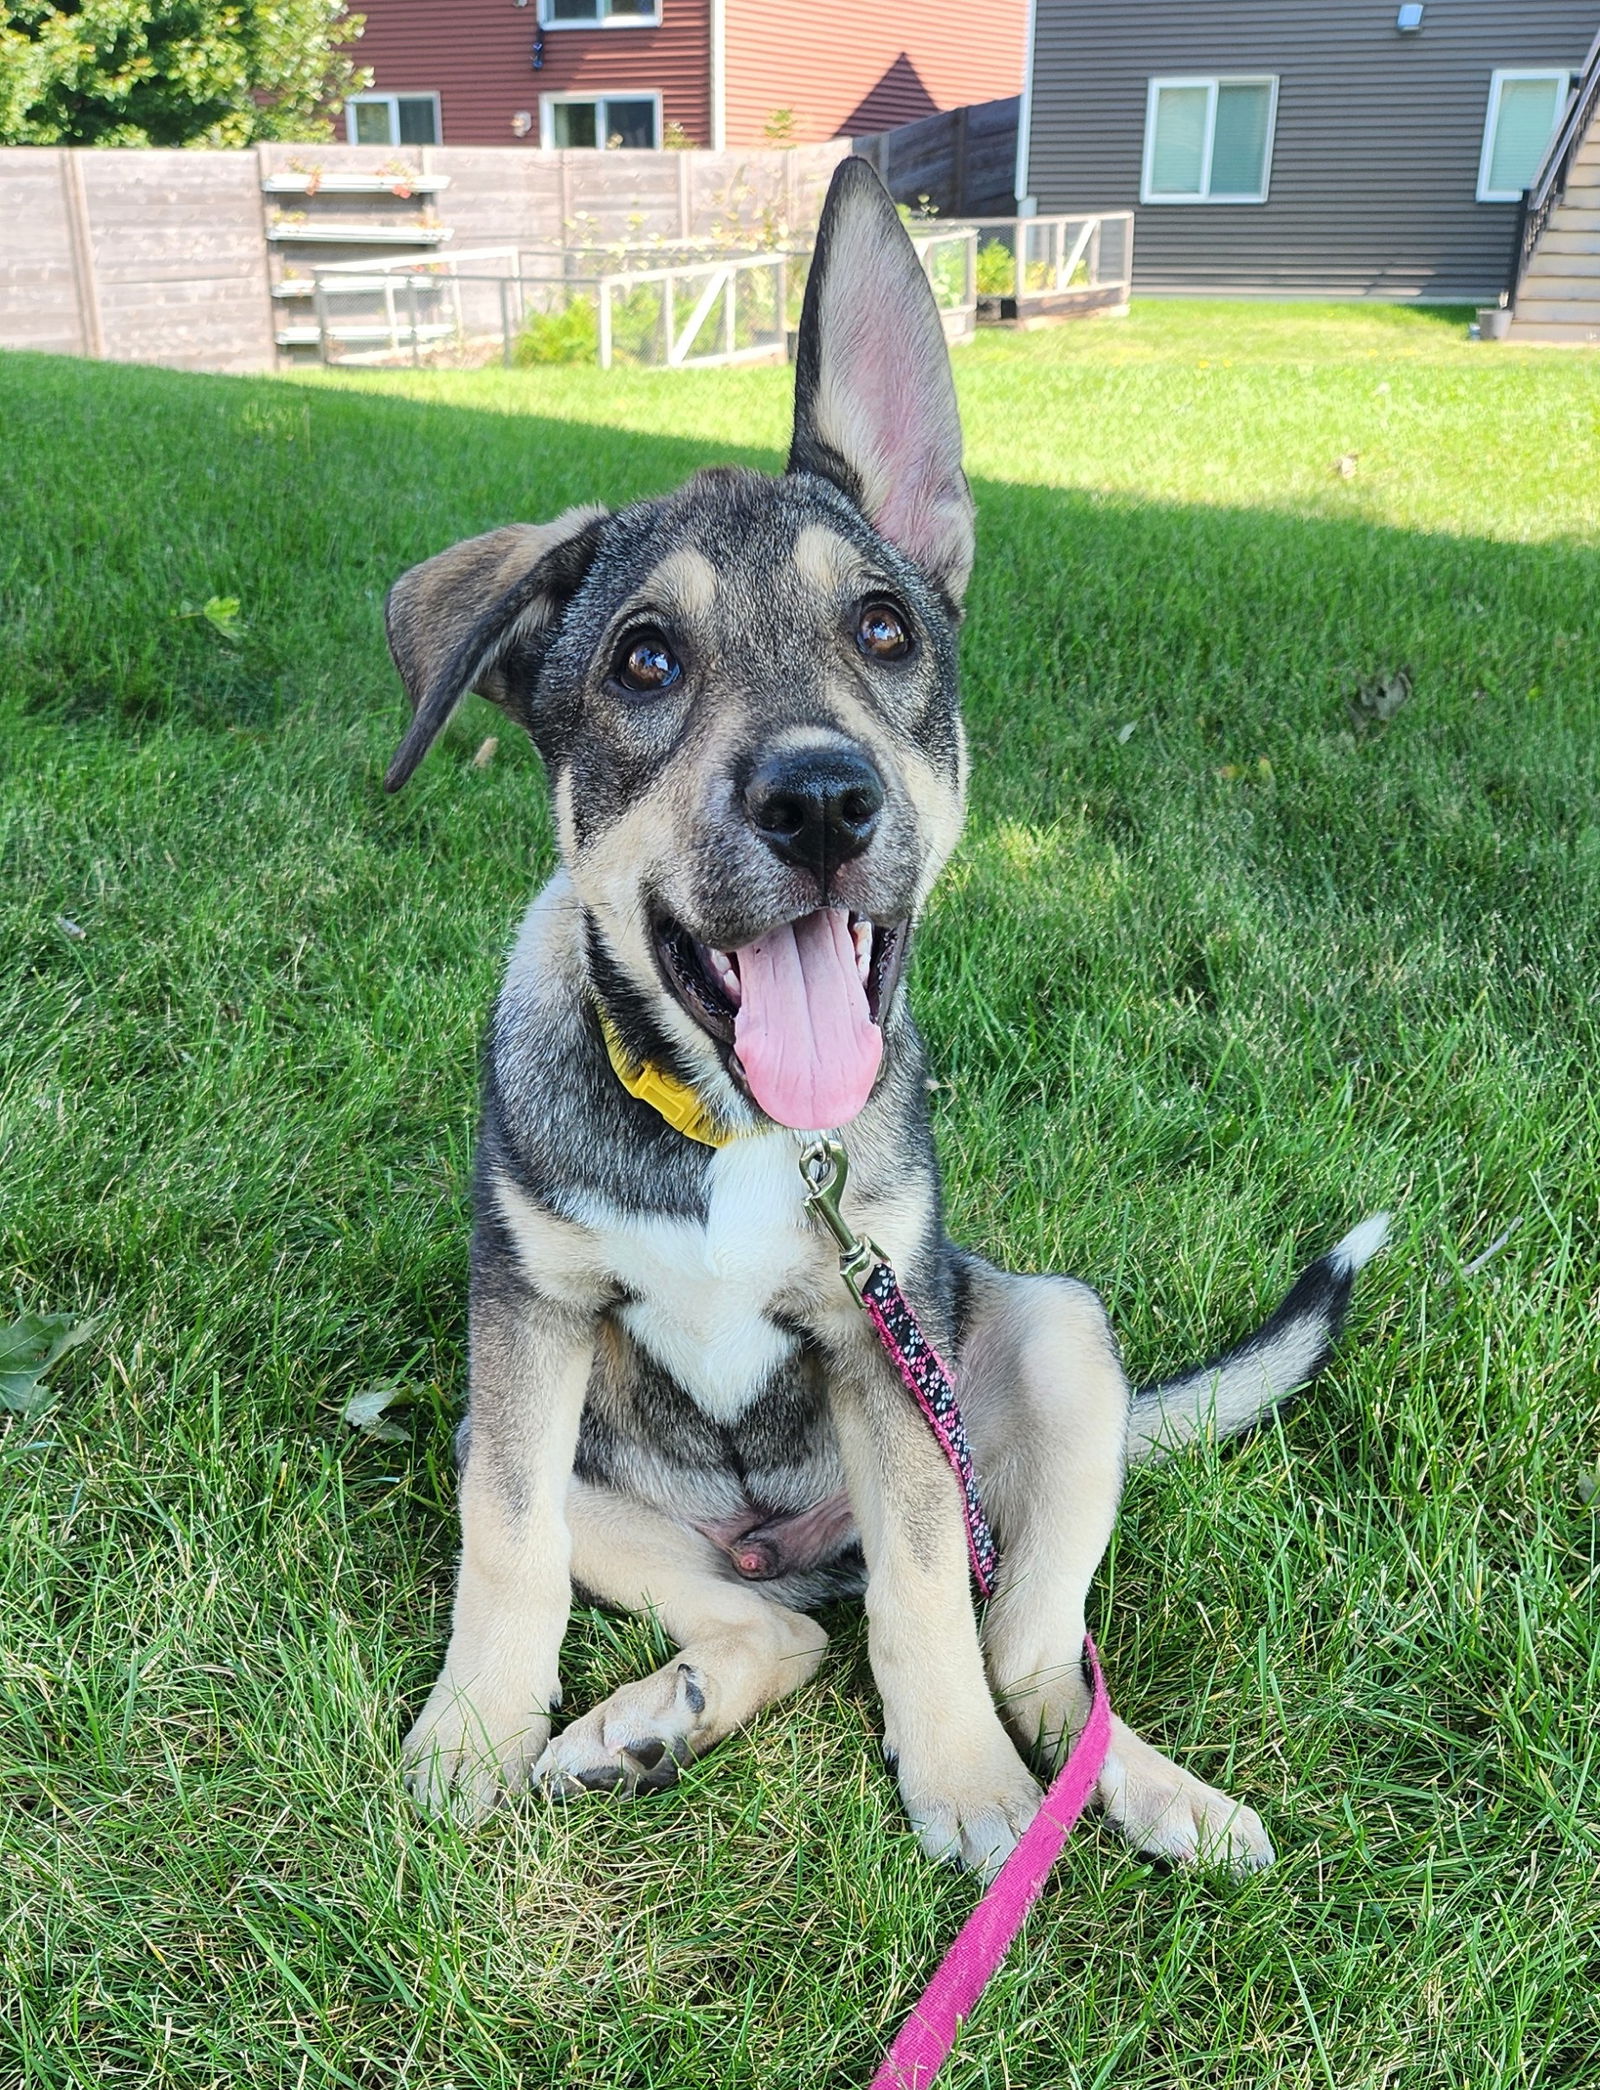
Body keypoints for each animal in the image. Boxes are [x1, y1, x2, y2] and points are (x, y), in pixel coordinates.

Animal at [382, 154, 1386, 1872]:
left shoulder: (881, 1353)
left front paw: (965, 1783)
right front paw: (469, 1736)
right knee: (776, 1626)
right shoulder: (524, 1330)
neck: (730, 1127)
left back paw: (1140, 1790)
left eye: (882, 628)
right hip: (589, 1468)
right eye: (645, 659)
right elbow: (501, 1540)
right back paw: (643, 1722)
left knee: (1029, 1645)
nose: (822, 800)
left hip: (1051, 1338)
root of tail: (787, 1536)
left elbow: (926, 1599)